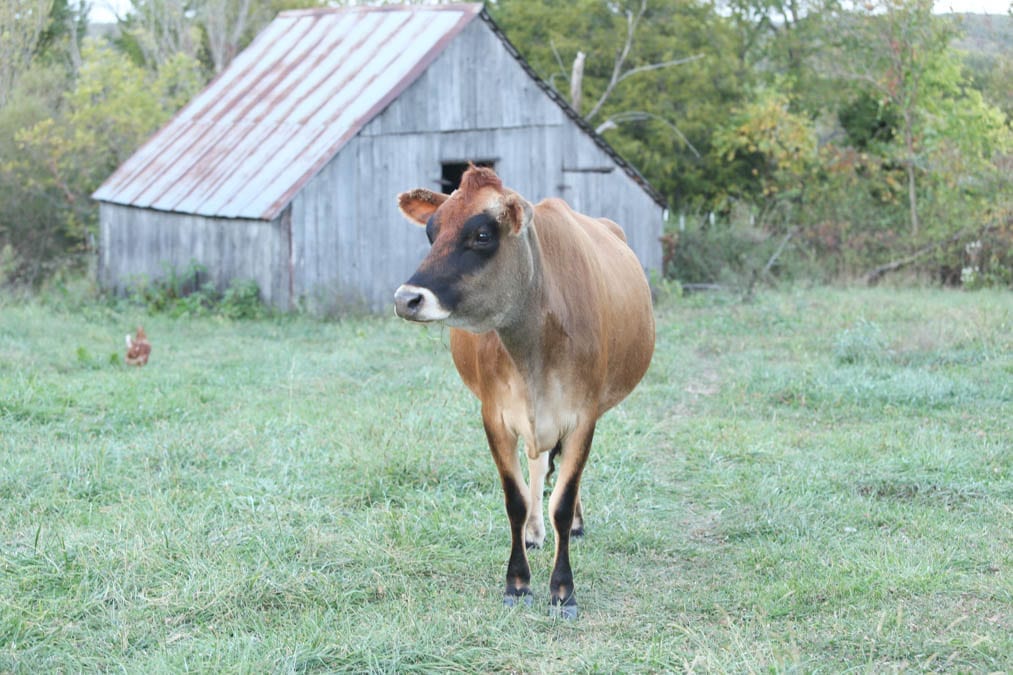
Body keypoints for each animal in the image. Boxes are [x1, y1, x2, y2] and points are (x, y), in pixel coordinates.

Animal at [391, 164, 652, 616]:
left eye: (482, 234)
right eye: (430, 231)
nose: (407, 298)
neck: (533, 349)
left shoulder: (583, 416)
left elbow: (562, 500)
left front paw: (562, 589)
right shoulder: (494, 415)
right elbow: (515, 498)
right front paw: (517, 581)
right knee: (538, 465)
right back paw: (533, 531)